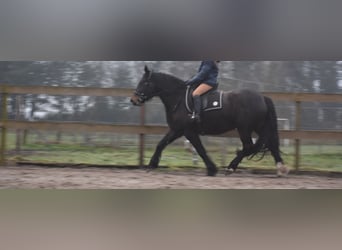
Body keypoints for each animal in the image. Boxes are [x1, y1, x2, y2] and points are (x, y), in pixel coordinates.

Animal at [131, 65, 288, 177]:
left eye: (145, 83)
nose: (133, 100)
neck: (178, 98)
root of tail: (262, 97)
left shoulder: (188, 131)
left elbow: (200, 150)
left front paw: (212, 169)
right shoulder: (177, 130)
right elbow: (161, 144)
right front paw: (152, 164)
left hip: (245, 128)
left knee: (249, 146)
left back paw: (231, 167)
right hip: (259, 127)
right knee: (271, 144)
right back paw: (281, 169)